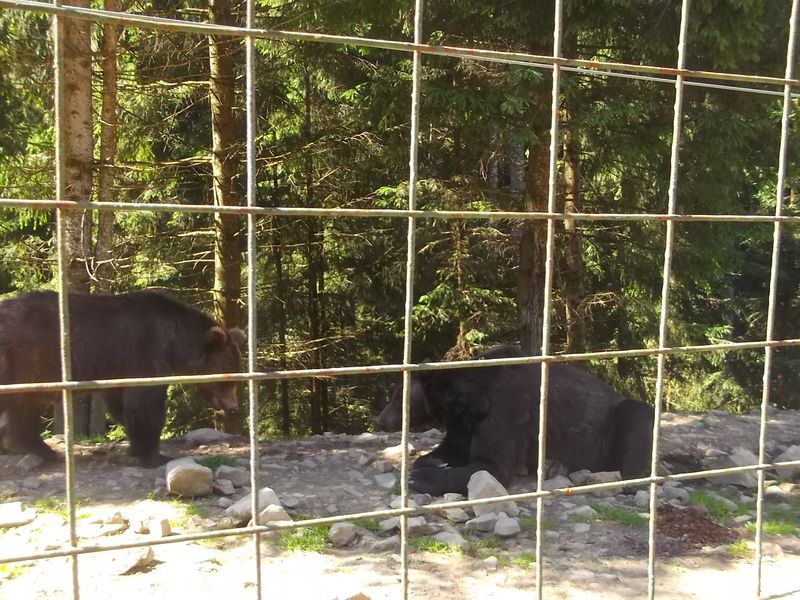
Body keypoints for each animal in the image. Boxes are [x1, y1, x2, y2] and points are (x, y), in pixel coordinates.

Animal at [0, 290, 245, 467]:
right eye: (228, 377)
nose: (233, 407)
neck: (176, 344)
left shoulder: (118, 368)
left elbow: (121, 402)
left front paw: (136, 446)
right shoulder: (146, 351)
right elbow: (145, 404)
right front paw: (154, 455)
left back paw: (39, 448)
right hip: (26, 360)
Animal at [375, 344, 654, 495]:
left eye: (398, 396)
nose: (380, 420)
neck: (469, 403)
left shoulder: (506, 415)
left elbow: (491, 465)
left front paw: (421, 477)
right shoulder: (463, 426)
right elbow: (451, 449)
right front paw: (429, 462)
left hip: (613, 418)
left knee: (637, 420)